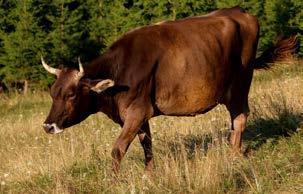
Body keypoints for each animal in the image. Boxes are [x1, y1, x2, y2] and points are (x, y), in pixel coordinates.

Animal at [41, 6, 298, 173]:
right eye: (53, 93)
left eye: (71, 94)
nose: (48, 125)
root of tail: (240, 11)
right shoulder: (140, 114)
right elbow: (147, 145)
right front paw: (149, 174)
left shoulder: (137, 111)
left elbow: (117, 149)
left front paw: (114, 181)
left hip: (240, 84)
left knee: (240, 118)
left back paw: (234, 155)